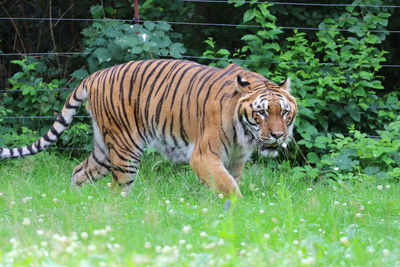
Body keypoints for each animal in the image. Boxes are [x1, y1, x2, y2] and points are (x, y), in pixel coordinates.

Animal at [0, 59, 296, 197]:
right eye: (261, 112)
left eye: (284, 112)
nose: (277, 135)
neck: (243, 134)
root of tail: (95, 75)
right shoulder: (203, 156)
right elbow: (228, 185)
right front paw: (239, 208)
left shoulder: (236, 159)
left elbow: (226, 182)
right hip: (125, 148)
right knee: (117, 188)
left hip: (103, 149)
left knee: (79, 170)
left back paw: (76, 201)